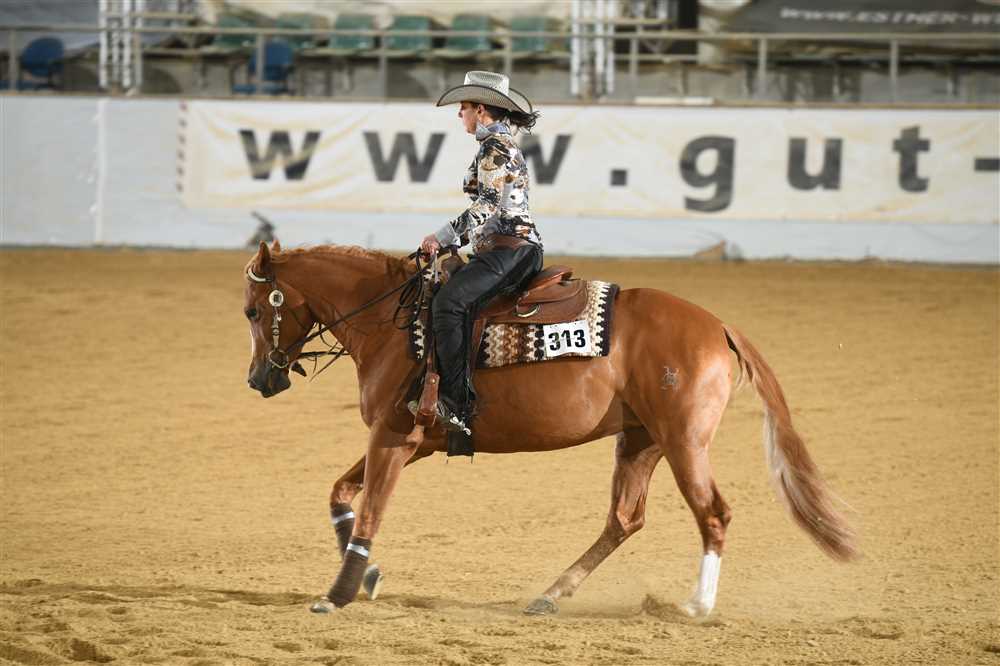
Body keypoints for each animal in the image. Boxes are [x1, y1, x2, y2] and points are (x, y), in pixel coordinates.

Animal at [243, 240, 857, 617]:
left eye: (253, 311)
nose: (258, 379)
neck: (394, 324)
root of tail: (718, 325)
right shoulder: (412, 442)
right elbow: (341, 493)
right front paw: (367, 578)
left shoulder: (395, 438)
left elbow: (370, 509)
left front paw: (339, 593)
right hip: (641, 441)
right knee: (624, 519)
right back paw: (551, 594)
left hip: (685, 442)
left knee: (712, 514)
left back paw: (697, 606)